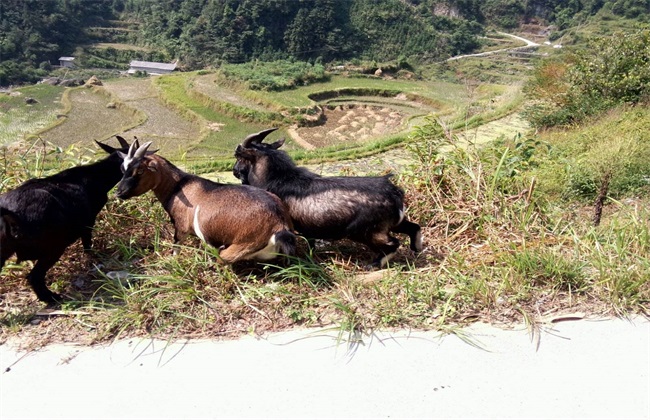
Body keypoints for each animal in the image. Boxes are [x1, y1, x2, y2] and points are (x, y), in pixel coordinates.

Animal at [0, 136, 134, 304]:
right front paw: (94, 257)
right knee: (34, 276)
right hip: (54, 244)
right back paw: (51, 298)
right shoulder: (88, 221)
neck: (95, 175)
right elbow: (87, 242)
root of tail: (10, 216)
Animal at [117, 143, 296, 264]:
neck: (179, 185)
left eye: (140, 171)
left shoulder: (181, 226)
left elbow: (176, 245)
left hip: (243, 244)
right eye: (123, 169)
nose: (119, 192)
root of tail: (279, 224)